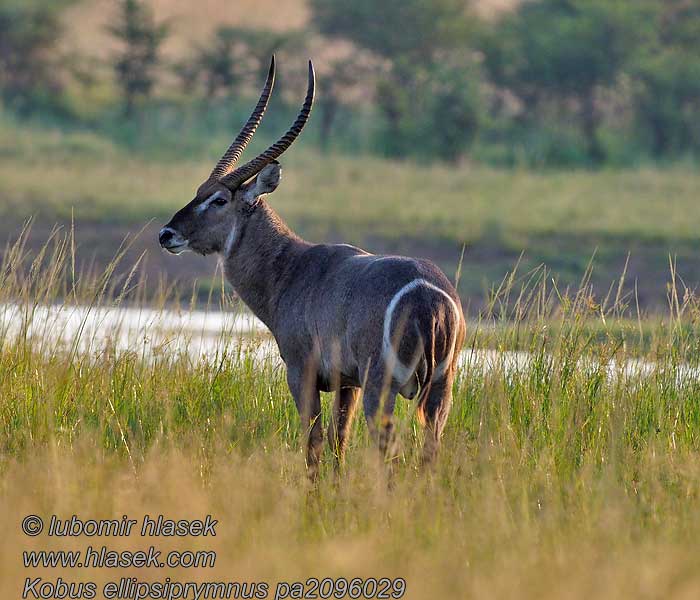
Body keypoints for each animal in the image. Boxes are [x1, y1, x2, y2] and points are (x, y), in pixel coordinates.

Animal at [159, 57, 464, 478]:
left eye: (219, 199)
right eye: (199, 191)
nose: (166, 234)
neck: (291, 268)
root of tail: (428, 297)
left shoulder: (301, 373)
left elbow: (314, 444)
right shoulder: (347, 383)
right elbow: (339, 443)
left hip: (382, 388)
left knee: (388, 451)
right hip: (439, 391)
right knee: (430, 451)